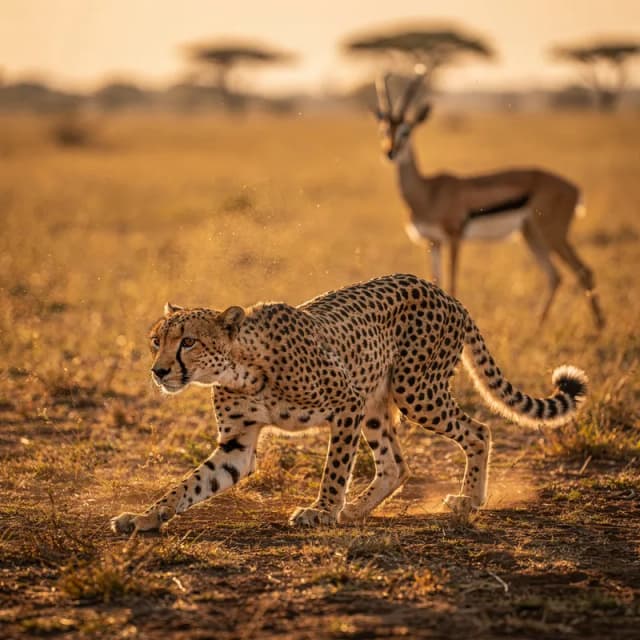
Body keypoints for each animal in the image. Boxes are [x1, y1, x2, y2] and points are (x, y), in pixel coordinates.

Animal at [111, 273, 587, 534]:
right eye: (156, 340)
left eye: (188, 341)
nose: (159, 371)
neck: (241, 368)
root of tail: (443, 292)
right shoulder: (238, 444)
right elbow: (190, 484)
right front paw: (147, 517)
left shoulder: (346, 404)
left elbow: (335, 468)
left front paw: (322, 510)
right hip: (380, 403)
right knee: (396, 464)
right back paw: (359, 509)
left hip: (416, 391)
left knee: (478, 430)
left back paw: (469, 500)